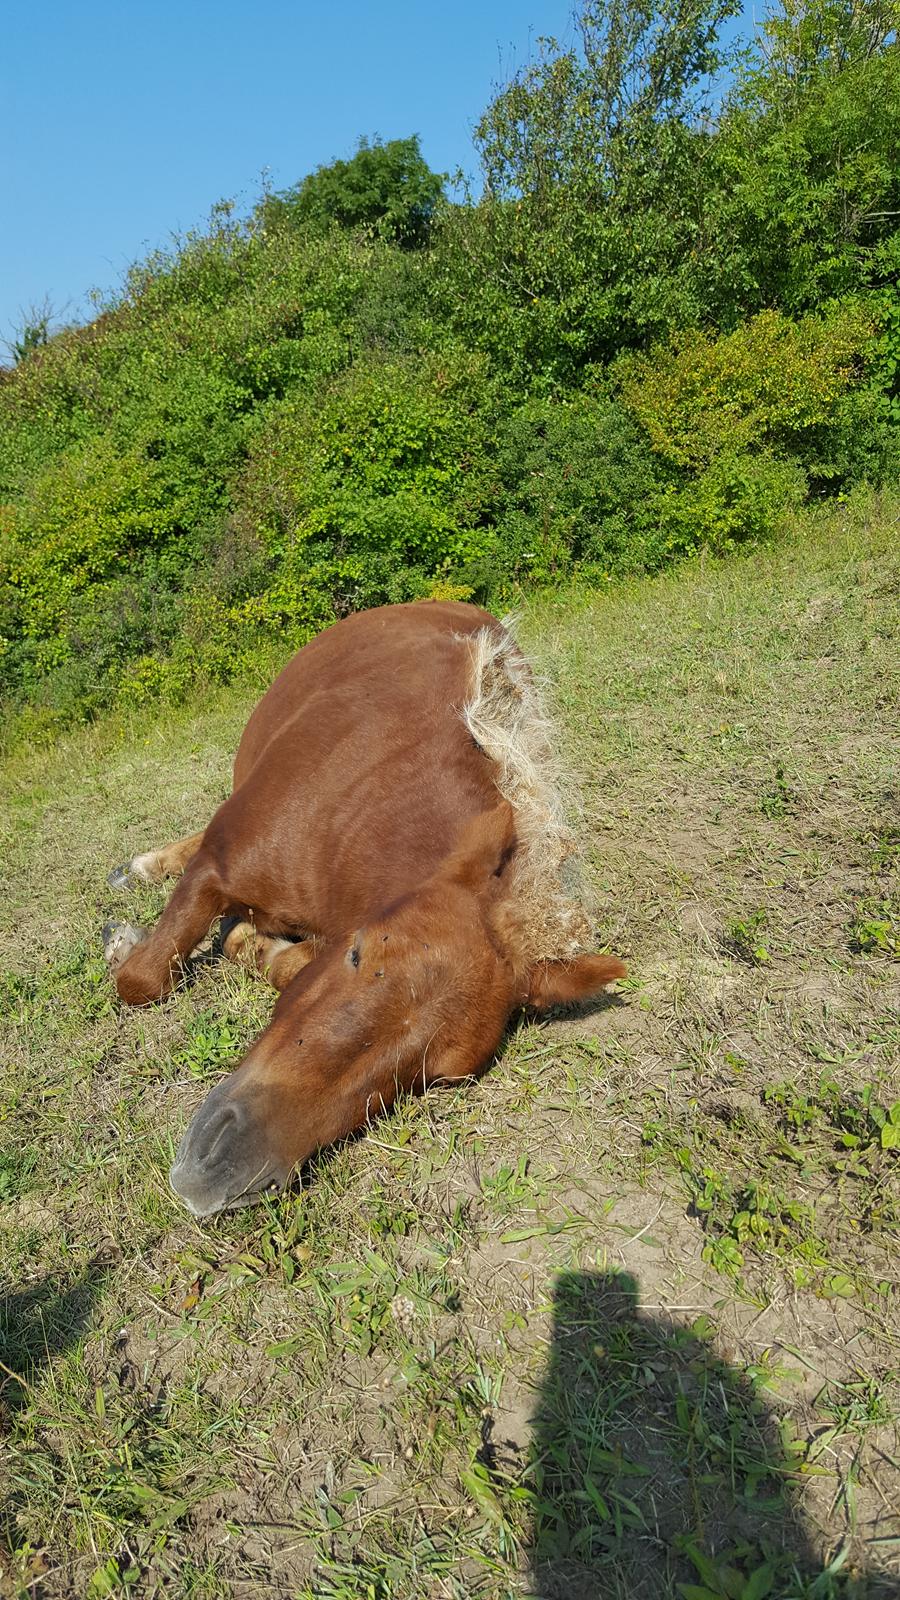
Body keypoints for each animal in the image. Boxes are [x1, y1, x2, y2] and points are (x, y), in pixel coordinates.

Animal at [103, 604, 624, 1216]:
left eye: (440, 1075)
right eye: (358, 954)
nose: (226, 1168)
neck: (359, 809)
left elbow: (268, 956)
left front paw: (252, 944)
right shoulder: (217, 866)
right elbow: (143, 980)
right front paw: (129, 941)